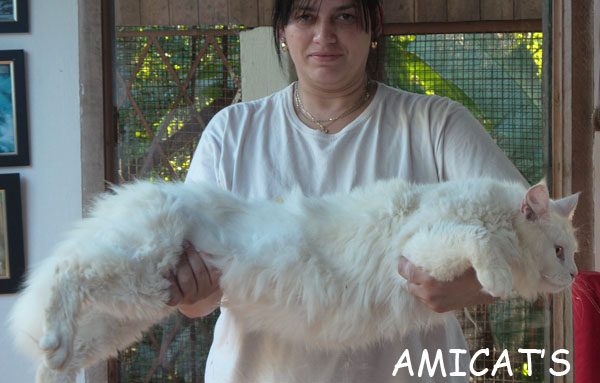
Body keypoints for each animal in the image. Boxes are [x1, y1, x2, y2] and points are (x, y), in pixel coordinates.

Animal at [9, 178, 580, 382]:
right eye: (559, 250)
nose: (574, 273)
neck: (494, 207)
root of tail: (143, 190)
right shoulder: (421, 246)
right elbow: (478, 240)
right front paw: (498, 276)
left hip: (133, 307)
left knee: (66, 345)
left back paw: (54, 360)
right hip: (142, 268)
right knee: (65, 272)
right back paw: (53, 341)